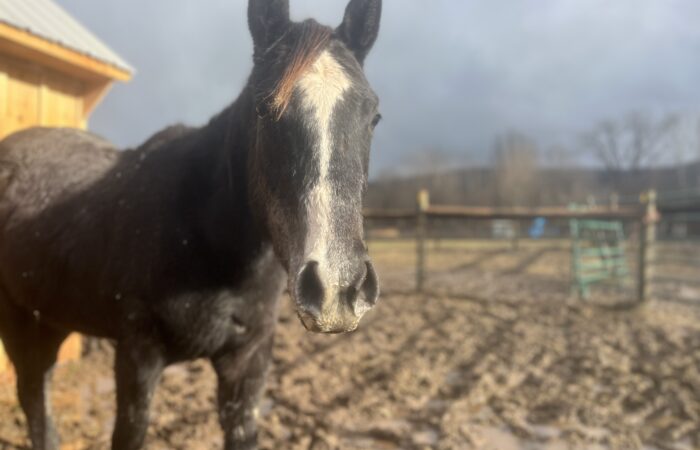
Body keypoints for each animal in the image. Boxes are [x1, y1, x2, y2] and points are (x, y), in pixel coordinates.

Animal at [0, 0, 382, 448]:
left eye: (374, 117)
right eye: (264, 109)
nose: (337, 288)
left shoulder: (247, 363)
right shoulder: (138, 357)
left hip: (50, 320)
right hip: (20, 323)